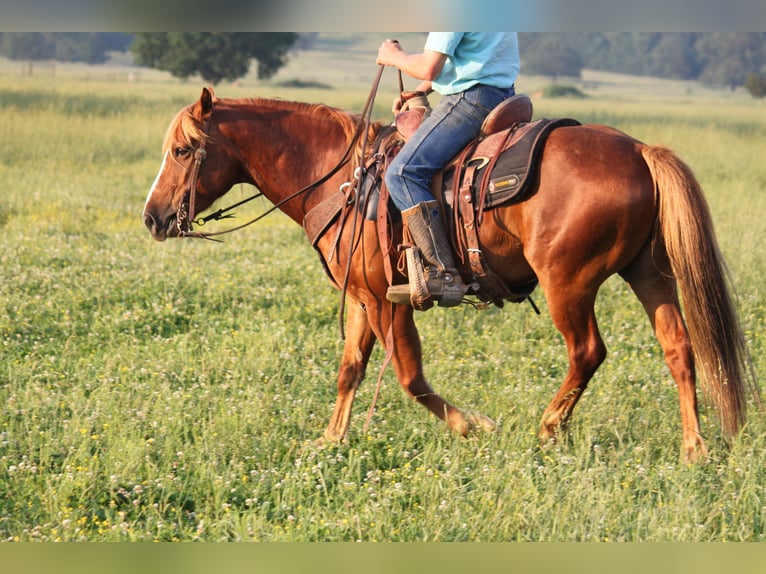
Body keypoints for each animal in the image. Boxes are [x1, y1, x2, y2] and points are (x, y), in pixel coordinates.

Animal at [141, 86, 760, 464]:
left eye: (182, 150)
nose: (152, 217)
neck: (341, 178)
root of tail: (639, 151)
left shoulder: (386, 300)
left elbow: (409, 377)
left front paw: (475, 427)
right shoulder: (363, 297)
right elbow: (350, 370)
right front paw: (330, 439)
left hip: (570, 282)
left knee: (588, 351)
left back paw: (547, 429)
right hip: (648, 272)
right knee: (679, 347)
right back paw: (694, 449)